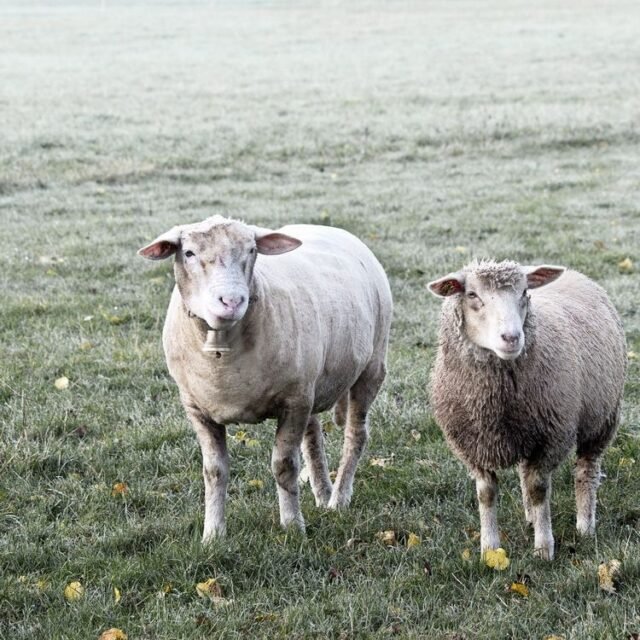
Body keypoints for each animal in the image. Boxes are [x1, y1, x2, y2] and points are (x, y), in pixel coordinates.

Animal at [139, 215, 392, 542]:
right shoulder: (196, 408)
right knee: (313, 437)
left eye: (251, 250)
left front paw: (293, 526)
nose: (232, 300)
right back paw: (322, 494)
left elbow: (284, 466)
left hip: (371, 367)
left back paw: (338, 499)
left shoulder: (293, 402)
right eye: (189, 253)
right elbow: (214, 471)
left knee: (355, 435)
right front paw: (213, 534)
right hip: (311, 382)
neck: (223, 354)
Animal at [428, 260, 626, 560]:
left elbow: (538, 490)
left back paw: (585, 525)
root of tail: (574, 272)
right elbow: (486, 493)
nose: (511, 337)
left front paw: (544, 548)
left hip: (602, 418)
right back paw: (531, 518)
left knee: (586, 471)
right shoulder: (473, 446)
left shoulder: (550, 438)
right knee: (524, 471)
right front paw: (489, 549)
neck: (493, 406)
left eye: (524, 292)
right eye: (472, 295)